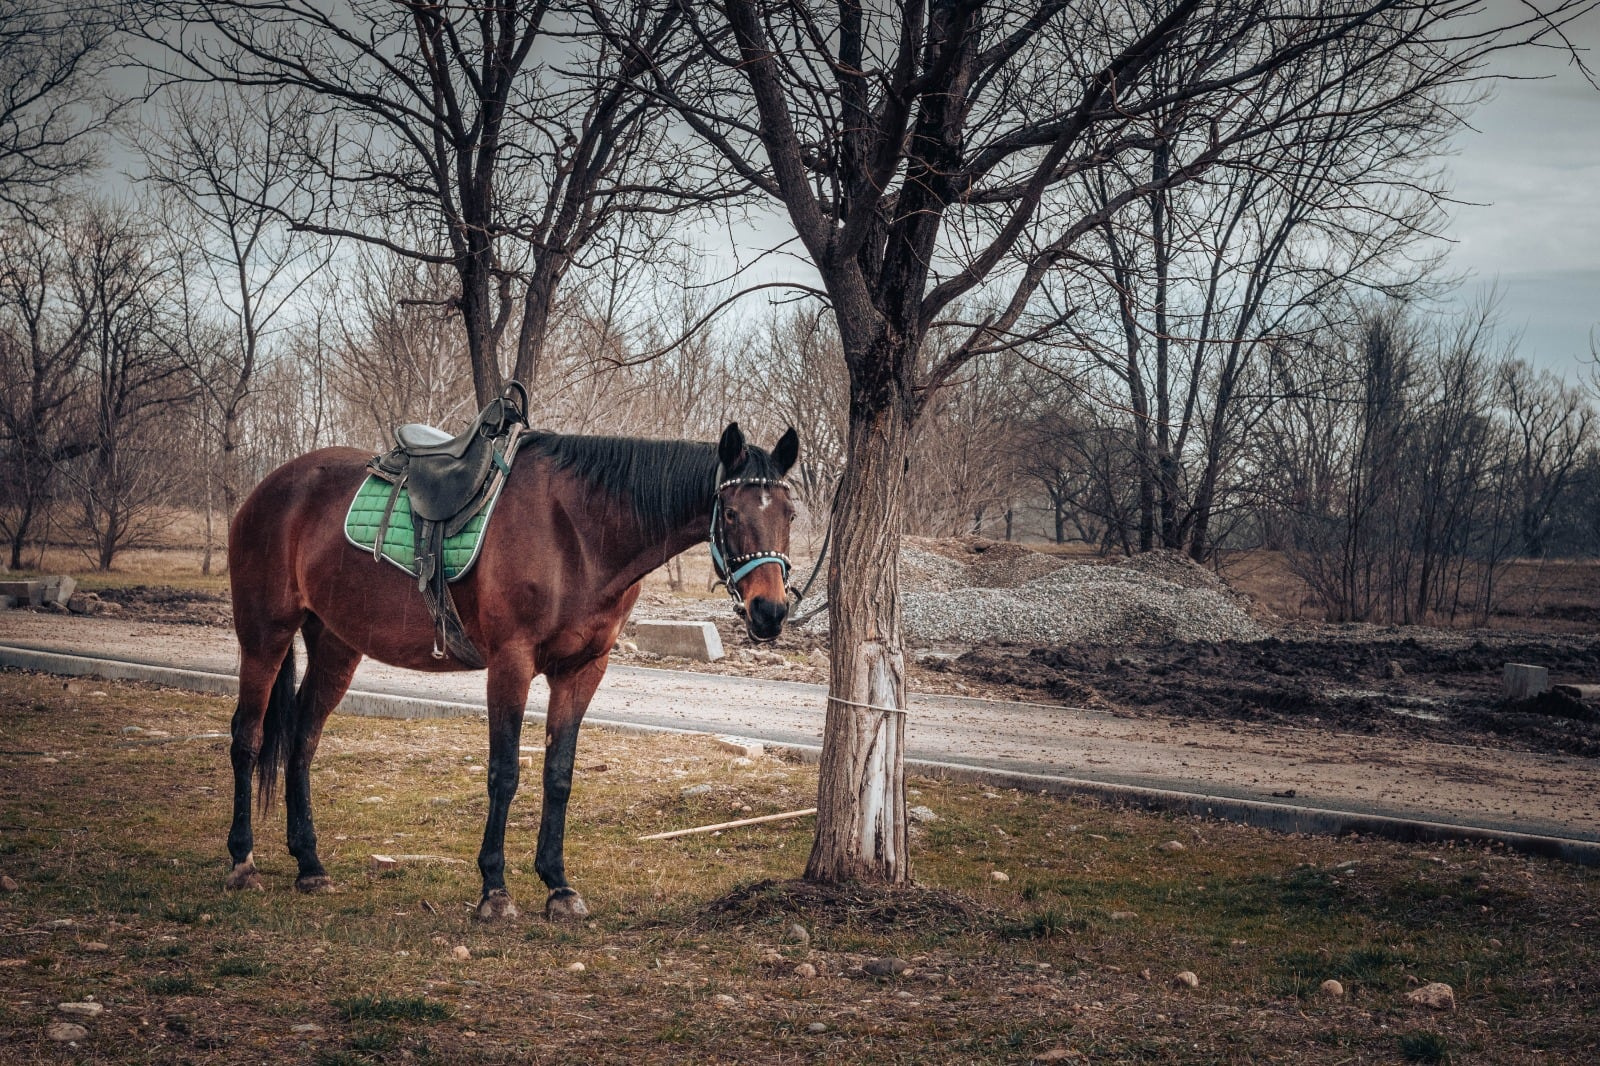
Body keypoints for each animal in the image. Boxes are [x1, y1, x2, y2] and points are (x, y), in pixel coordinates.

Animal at [223, 421, 799, 921]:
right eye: (729, 513)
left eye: (790, 513)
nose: (770, 611)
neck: (577, 533)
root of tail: (269, 487)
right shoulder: (510, 663)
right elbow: (504, 773)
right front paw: (494, 889)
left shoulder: (582, 670)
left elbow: (559, 774)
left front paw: (558, 885)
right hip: (265, 634)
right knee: (248, 736)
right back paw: (242, 861)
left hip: (335, 645)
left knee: (302, 741)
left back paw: (310, 864)